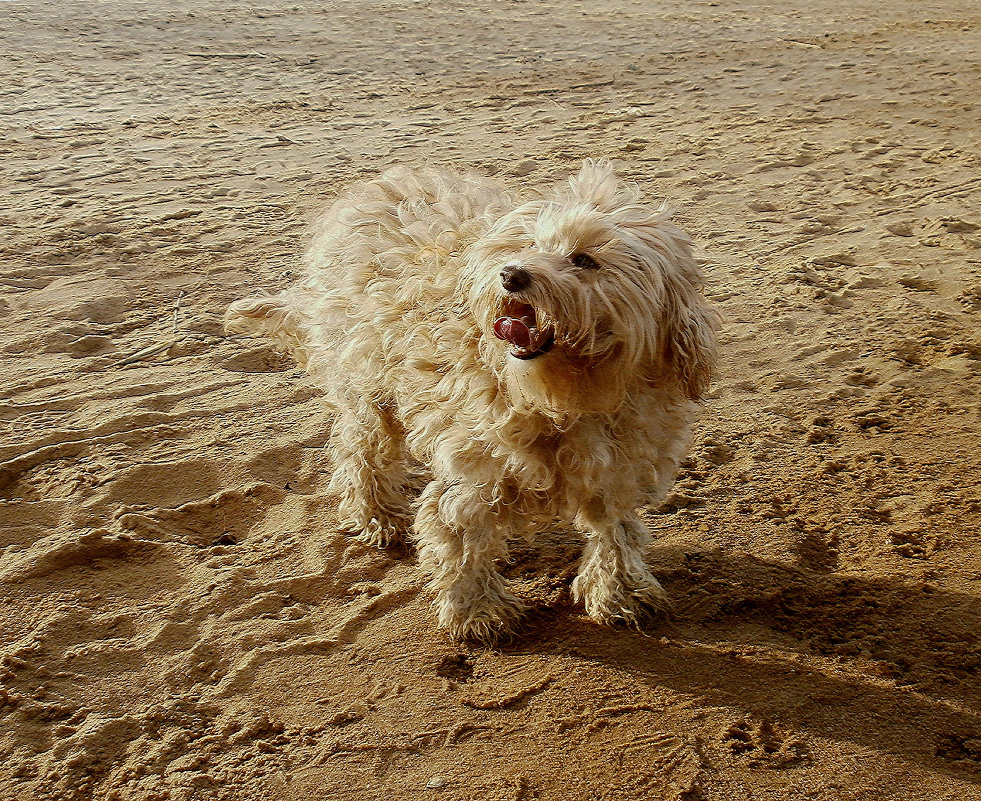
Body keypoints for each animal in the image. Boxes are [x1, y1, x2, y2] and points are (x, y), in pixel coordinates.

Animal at [230, 159, 720, 640]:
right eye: (528, 243)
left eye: (584, 259)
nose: (511, 274)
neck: (568, 397)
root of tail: (374, 186)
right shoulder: (474, 466)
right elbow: (459, 534)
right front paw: (477, 610)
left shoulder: (619, 467)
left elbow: (616, 530)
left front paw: (619, 591)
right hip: (368, 385)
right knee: (360, 453)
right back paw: (378, 515)